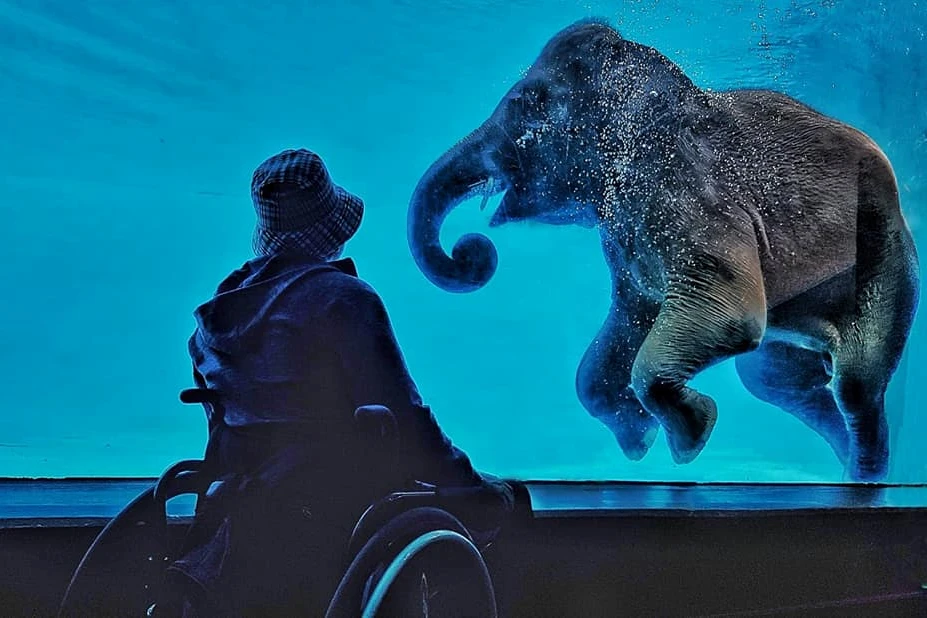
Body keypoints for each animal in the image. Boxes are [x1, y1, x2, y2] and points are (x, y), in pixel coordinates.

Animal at [406, 18, 919, 482]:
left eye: (526, 103)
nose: (471, 251)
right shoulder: (629, 235)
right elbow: (623, 329)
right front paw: (640, 442)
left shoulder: (689, 199)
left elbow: (731, 317)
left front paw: (690, 440)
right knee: (773, 379)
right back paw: (843, 458)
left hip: (885, 261)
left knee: (854, 386)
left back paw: (865, 478)